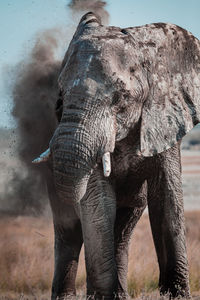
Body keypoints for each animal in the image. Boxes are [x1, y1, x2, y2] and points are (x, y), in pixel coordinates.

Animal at [33, 12, 200, 300]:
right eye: (60, 99)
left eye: (121, 98)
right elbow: (97, 201)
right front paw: (101, 297)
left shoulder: (165, 120)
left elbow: (167, 199)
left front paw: (177, 295)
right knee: (70, 232)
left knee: (121, 231)